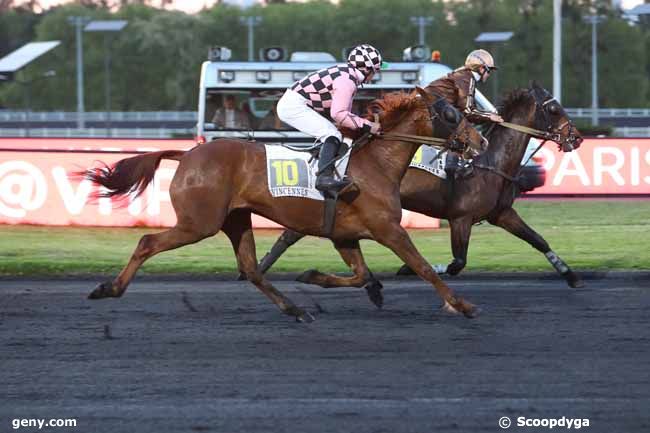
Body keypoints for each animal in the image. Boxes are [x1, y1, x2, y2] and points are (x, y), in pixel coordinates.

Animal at [81, 87, 484, 320]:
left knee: (251, 269)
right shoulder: (389, 229)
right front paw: (463, 305)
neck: (376, 164)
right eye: (452, 115)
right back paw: (109, 288)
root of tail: (187, 154)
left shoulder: (345, 235)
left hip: (236, 219)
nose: (479, 141)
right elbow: (424, 268)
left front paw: (313, 277)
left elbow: (360, 275)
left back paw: (295, 309)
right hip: (199, 222)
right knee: (147, 242)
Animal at [253, 82, 584, 304]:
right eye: (553, 108)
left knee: (292, 232)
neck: (490, 163)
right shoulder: (461, 218)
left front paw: (570, 275)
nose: (577, 138)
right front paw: (406, 269)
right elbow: (456, 264)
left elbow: (538, 240)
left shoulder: (501, 213)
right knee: (290, 234)